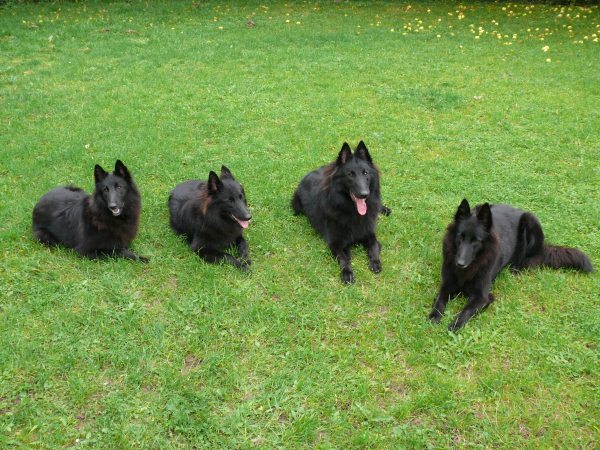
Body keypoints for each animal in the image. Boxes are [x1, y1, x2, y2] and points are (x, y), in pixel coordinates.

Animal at [291, 141, 390, 284]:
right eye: (350, 174)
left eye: (365, 173)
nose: (364, 194)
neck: (352, 210)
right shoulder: (335, 243)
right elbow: (343, 258)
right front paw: (347, 272)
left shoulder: (369, 233)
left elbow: (374, 247)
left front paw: (375, 262)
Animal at [429, 199, 593, 331]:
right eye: (460, 237)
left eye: (476, 241)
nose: (460, 263)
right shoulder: (447, 285)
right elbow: (439, 301)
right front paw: (434, 316)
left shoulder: (482, 297)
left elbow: (466, 311)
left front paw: (456, 324)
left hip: (530, 222)